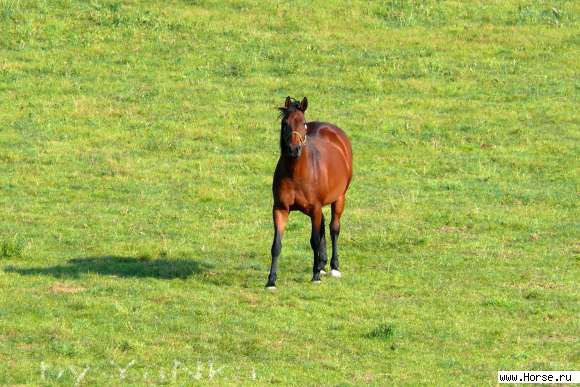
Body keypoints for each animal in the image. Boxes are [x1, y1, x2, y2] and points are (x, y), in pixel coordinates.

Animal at [268, 97, 354, 290]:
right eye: (285, 123)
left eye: (304, 124)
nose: (293, 149)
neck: (296, 173)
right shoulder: (280, 209)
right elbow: (276, 244)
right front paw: (271, 281)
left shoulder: (315, 208)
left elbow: (314, 240)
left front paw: (315, 276)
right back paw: (322, 264)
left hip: (339, 199)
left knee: (333, 228)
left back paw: (333, 267)